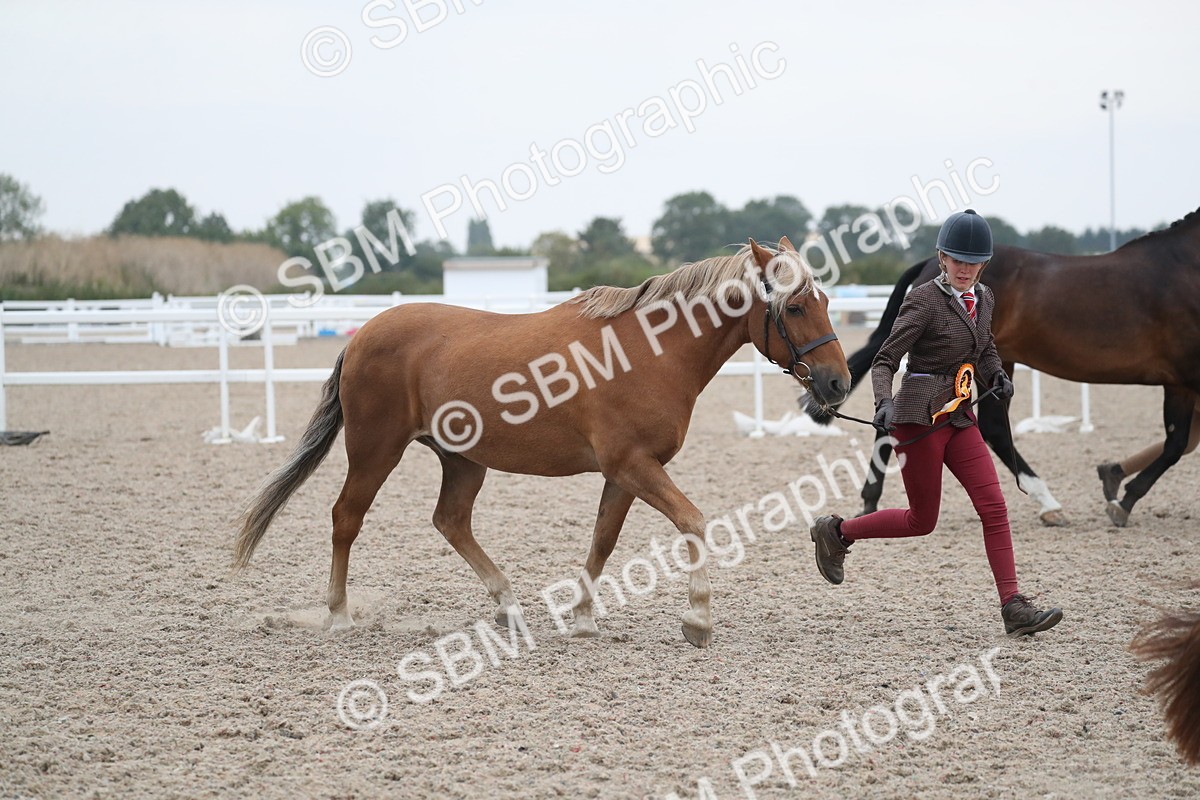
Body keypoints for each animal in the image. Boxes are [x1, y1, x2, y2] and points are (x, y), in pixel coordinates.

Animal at [233, 238, 851, 648]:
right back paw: (338, 615)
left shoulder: (624, 473)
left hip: (463, 461)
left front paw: (582, 618)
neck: (650, 352)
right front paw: (697, 619)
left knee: (450, 521)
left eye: (824, 301)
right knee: (346, 518)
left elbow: (602, 542)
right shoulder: (634, 465)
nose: (838, 383)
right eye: (796, 306)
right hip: (375, 450)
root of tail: (364, 335)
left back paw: (509, 609)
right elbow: (693, 522)